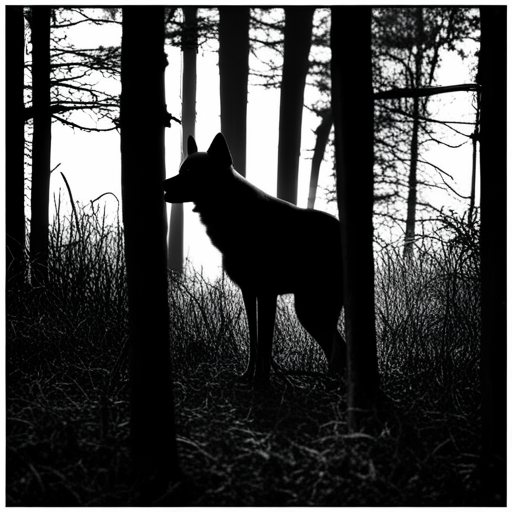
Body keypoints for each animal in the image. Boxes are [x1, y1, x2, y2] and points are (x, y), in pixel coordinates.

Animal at [164, 132, 348, 384]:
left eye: (191, 172)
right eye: (181, 170)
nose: (163, 184)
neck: (237, 214)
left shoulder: (267, 294)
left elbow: (265, 345)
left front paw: (262, 382)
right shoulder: (249, 292)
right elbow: (254, 342)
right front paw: (248, 376)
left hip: (310, 310)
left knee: (338, 348)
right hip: (311, 310)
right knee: (339, 348)